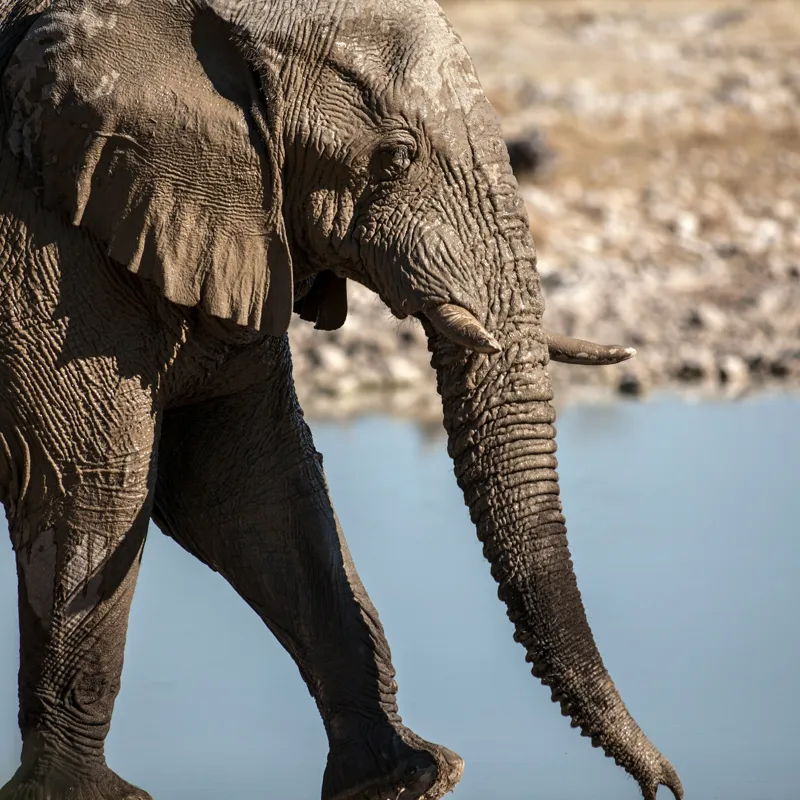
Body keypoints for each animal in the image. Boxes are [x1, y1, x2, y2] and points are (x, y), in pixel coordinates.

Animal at [0, 0, 683, 798]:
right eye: (393, 159)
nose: (664, 788)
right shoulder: (42, 246)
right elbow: (89, 484)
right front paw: (80, 796)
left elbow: (250, 488)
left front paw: (406, 777)